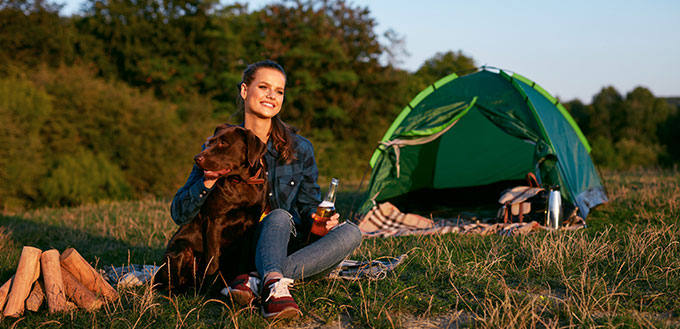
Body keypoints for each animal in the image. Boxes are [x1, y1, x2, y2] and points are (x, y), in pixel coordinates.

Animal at [156, 124, 268, 290]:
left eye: (223, 143)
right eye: (210, 142)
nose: (197, 158)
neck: (241, 183)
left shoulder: (250, 226)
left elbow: (244, 258)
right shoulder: (214, 223)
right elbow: (213, 261)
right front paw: (211, 289)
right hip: (181, 250)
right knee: (171, 284)